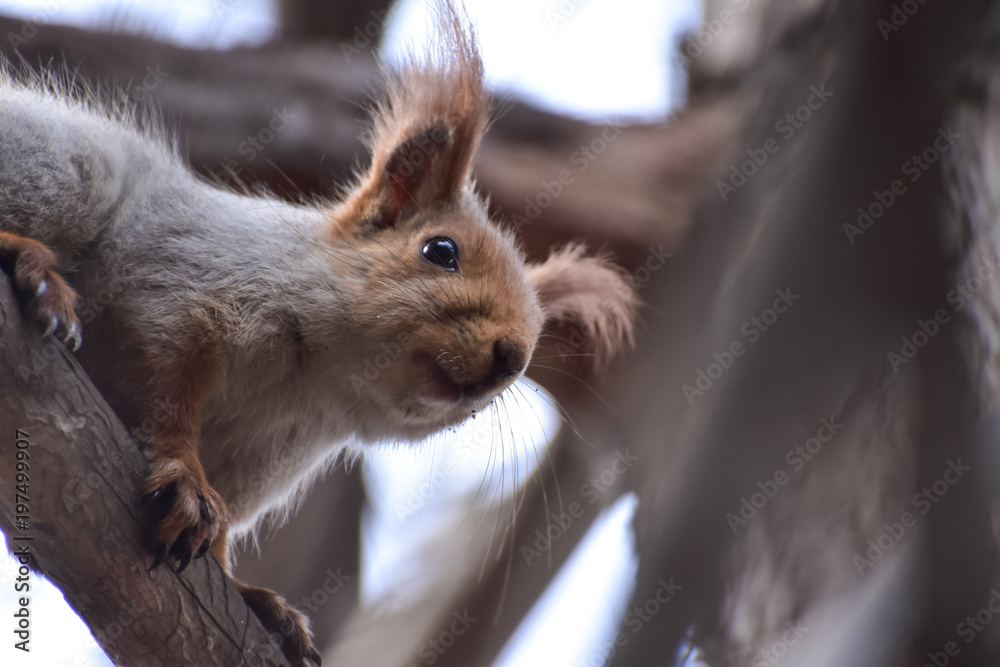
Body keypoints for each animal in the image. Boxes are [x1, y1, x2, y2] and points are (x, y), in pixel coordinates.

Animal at [0, 2, 636, 664]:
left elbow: (222, 537)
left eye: (535, 342)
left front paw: (250, 594)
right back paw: (30, 262)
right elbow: (165, 385)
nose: (511, 356)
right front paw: (184, 477)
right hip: (64, 169)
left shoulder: (263, 455)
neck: (316, 378)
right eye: (440, 250)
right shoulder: (182, 280)